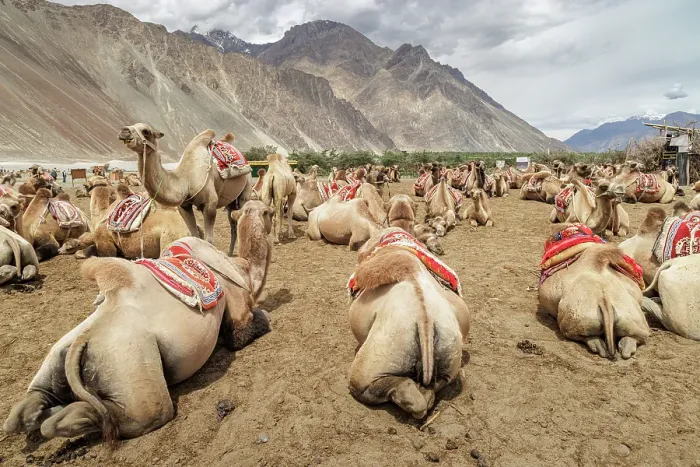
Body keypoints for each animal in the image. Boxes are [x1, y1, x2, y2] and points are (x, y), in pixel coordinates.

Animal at [3, 203, 273, 441]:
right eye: (269, 212)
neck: (243, 268)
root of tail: (84, 340)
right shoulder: (238, 308)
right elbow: (254, 324)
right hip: (130, 365)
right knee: (129, 416)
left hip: (64, 349)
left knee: (29, 406)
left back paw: (39, 412)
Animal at [118, 123, 252, 256]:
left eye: (146, 131)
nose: (124, 131)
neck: (186, 179)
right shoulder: (184, 206)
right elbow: (194, 236)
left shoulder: (210, 204)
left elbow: (209, 240)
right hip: (231, 203)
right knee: (233, 225)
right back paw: (229, 253)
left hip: (246, 190)